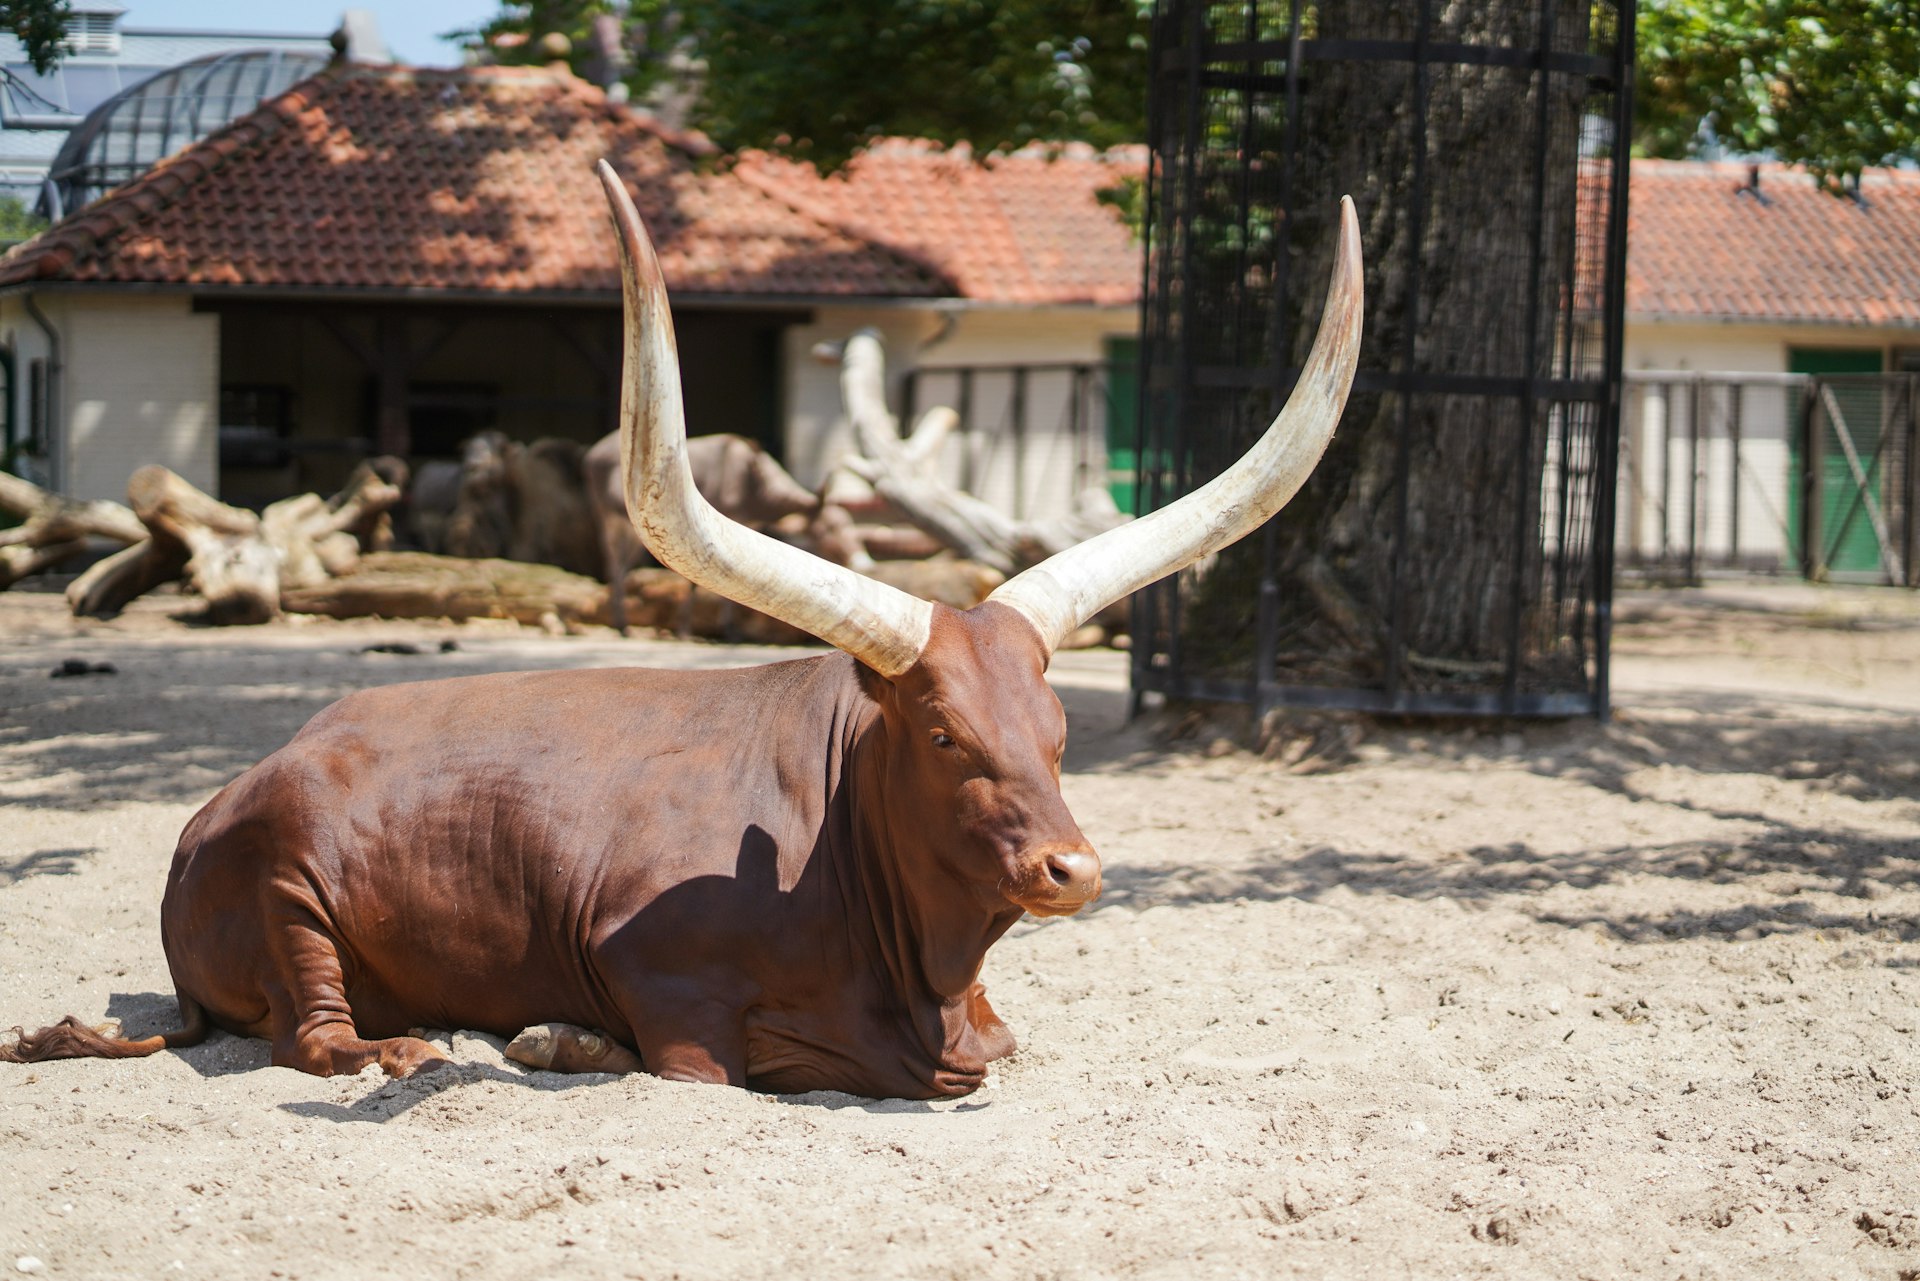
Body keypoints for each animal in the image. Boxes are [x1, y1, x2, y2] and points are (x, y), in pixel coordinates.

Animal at [583, 429, 871, 634]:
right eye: (830, 528)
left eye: (848, 525)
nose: (862, 559)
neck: (754, 485)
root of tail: (592, 453)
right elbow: (695, 582)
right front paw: (687, 630)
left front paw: (731, 630)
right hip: (606, 517)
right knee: (613, 564)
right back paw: (621, 624)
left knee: (623, 566)